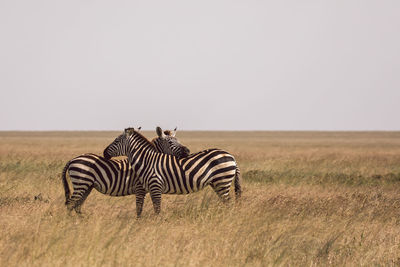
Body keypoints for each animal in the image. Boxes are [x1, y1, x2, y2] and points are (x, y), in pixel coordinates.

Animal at [61, 126, 189, 218]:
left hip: (87, 186)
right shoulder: (140, 188)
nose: (187, 151)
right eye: (170, 142)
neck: (147, 159)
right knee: (71, 204)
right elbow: (139, 209)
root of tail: (73, 159)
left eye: (178, 140)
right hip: (81, 183)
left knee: (77, 206)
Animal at [103, 127, 241, 216]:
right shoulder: (149, 189)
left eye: (116, 141)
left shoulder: (154, 187)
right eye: (170, 142)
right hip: (218, 183)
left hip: (222, 181)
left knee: (228, 203)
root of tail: (232, 157)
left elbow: (155, 210)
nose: (104, 153)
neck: (147, 160)